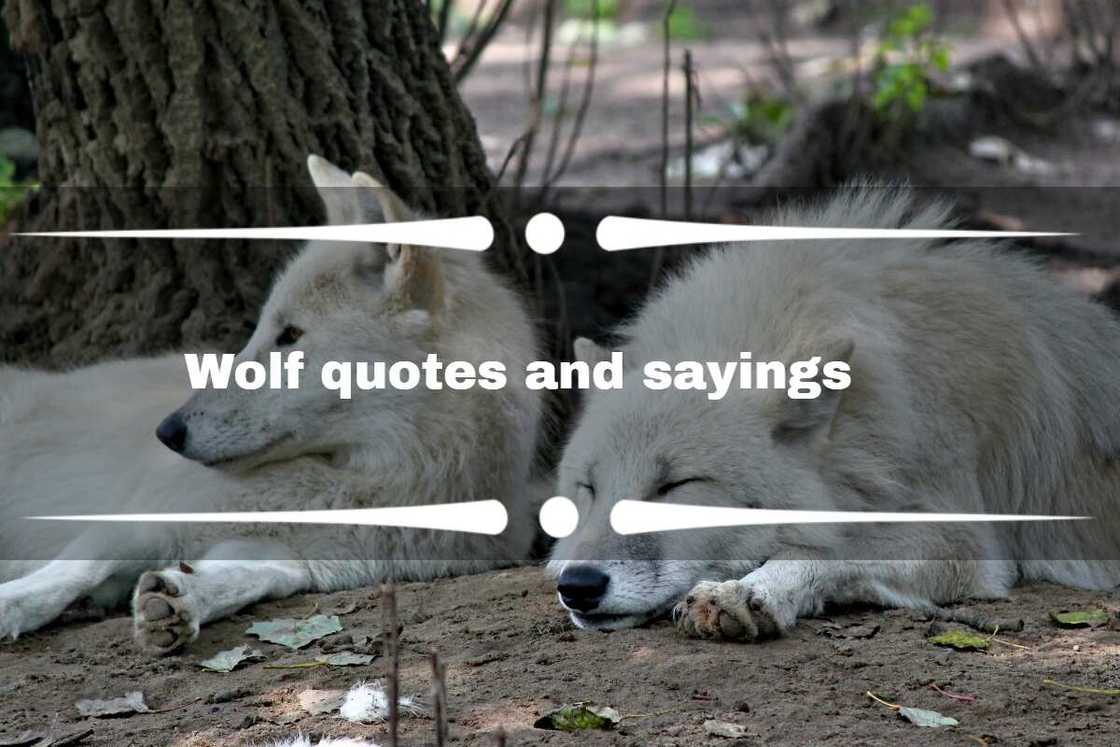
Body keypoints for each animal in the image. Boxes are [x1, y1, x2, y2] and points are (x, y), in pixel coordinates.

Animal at [0, 155, 543, 652]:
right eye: (265, 328)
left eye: (290, 335)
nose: (167, 432)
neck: (359, 482)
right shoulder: (142, 515)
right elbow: (70, 570)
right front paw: (12, 603)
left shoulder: (291, 556)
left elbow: (242, 580)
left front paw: (180, 600)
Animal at [549, 187, 1120, 641]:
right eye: (589, 488)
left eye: (674, 486)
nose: (577, 585)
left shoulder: (960, 535)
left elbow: (832, 544)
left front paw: (745, 592)